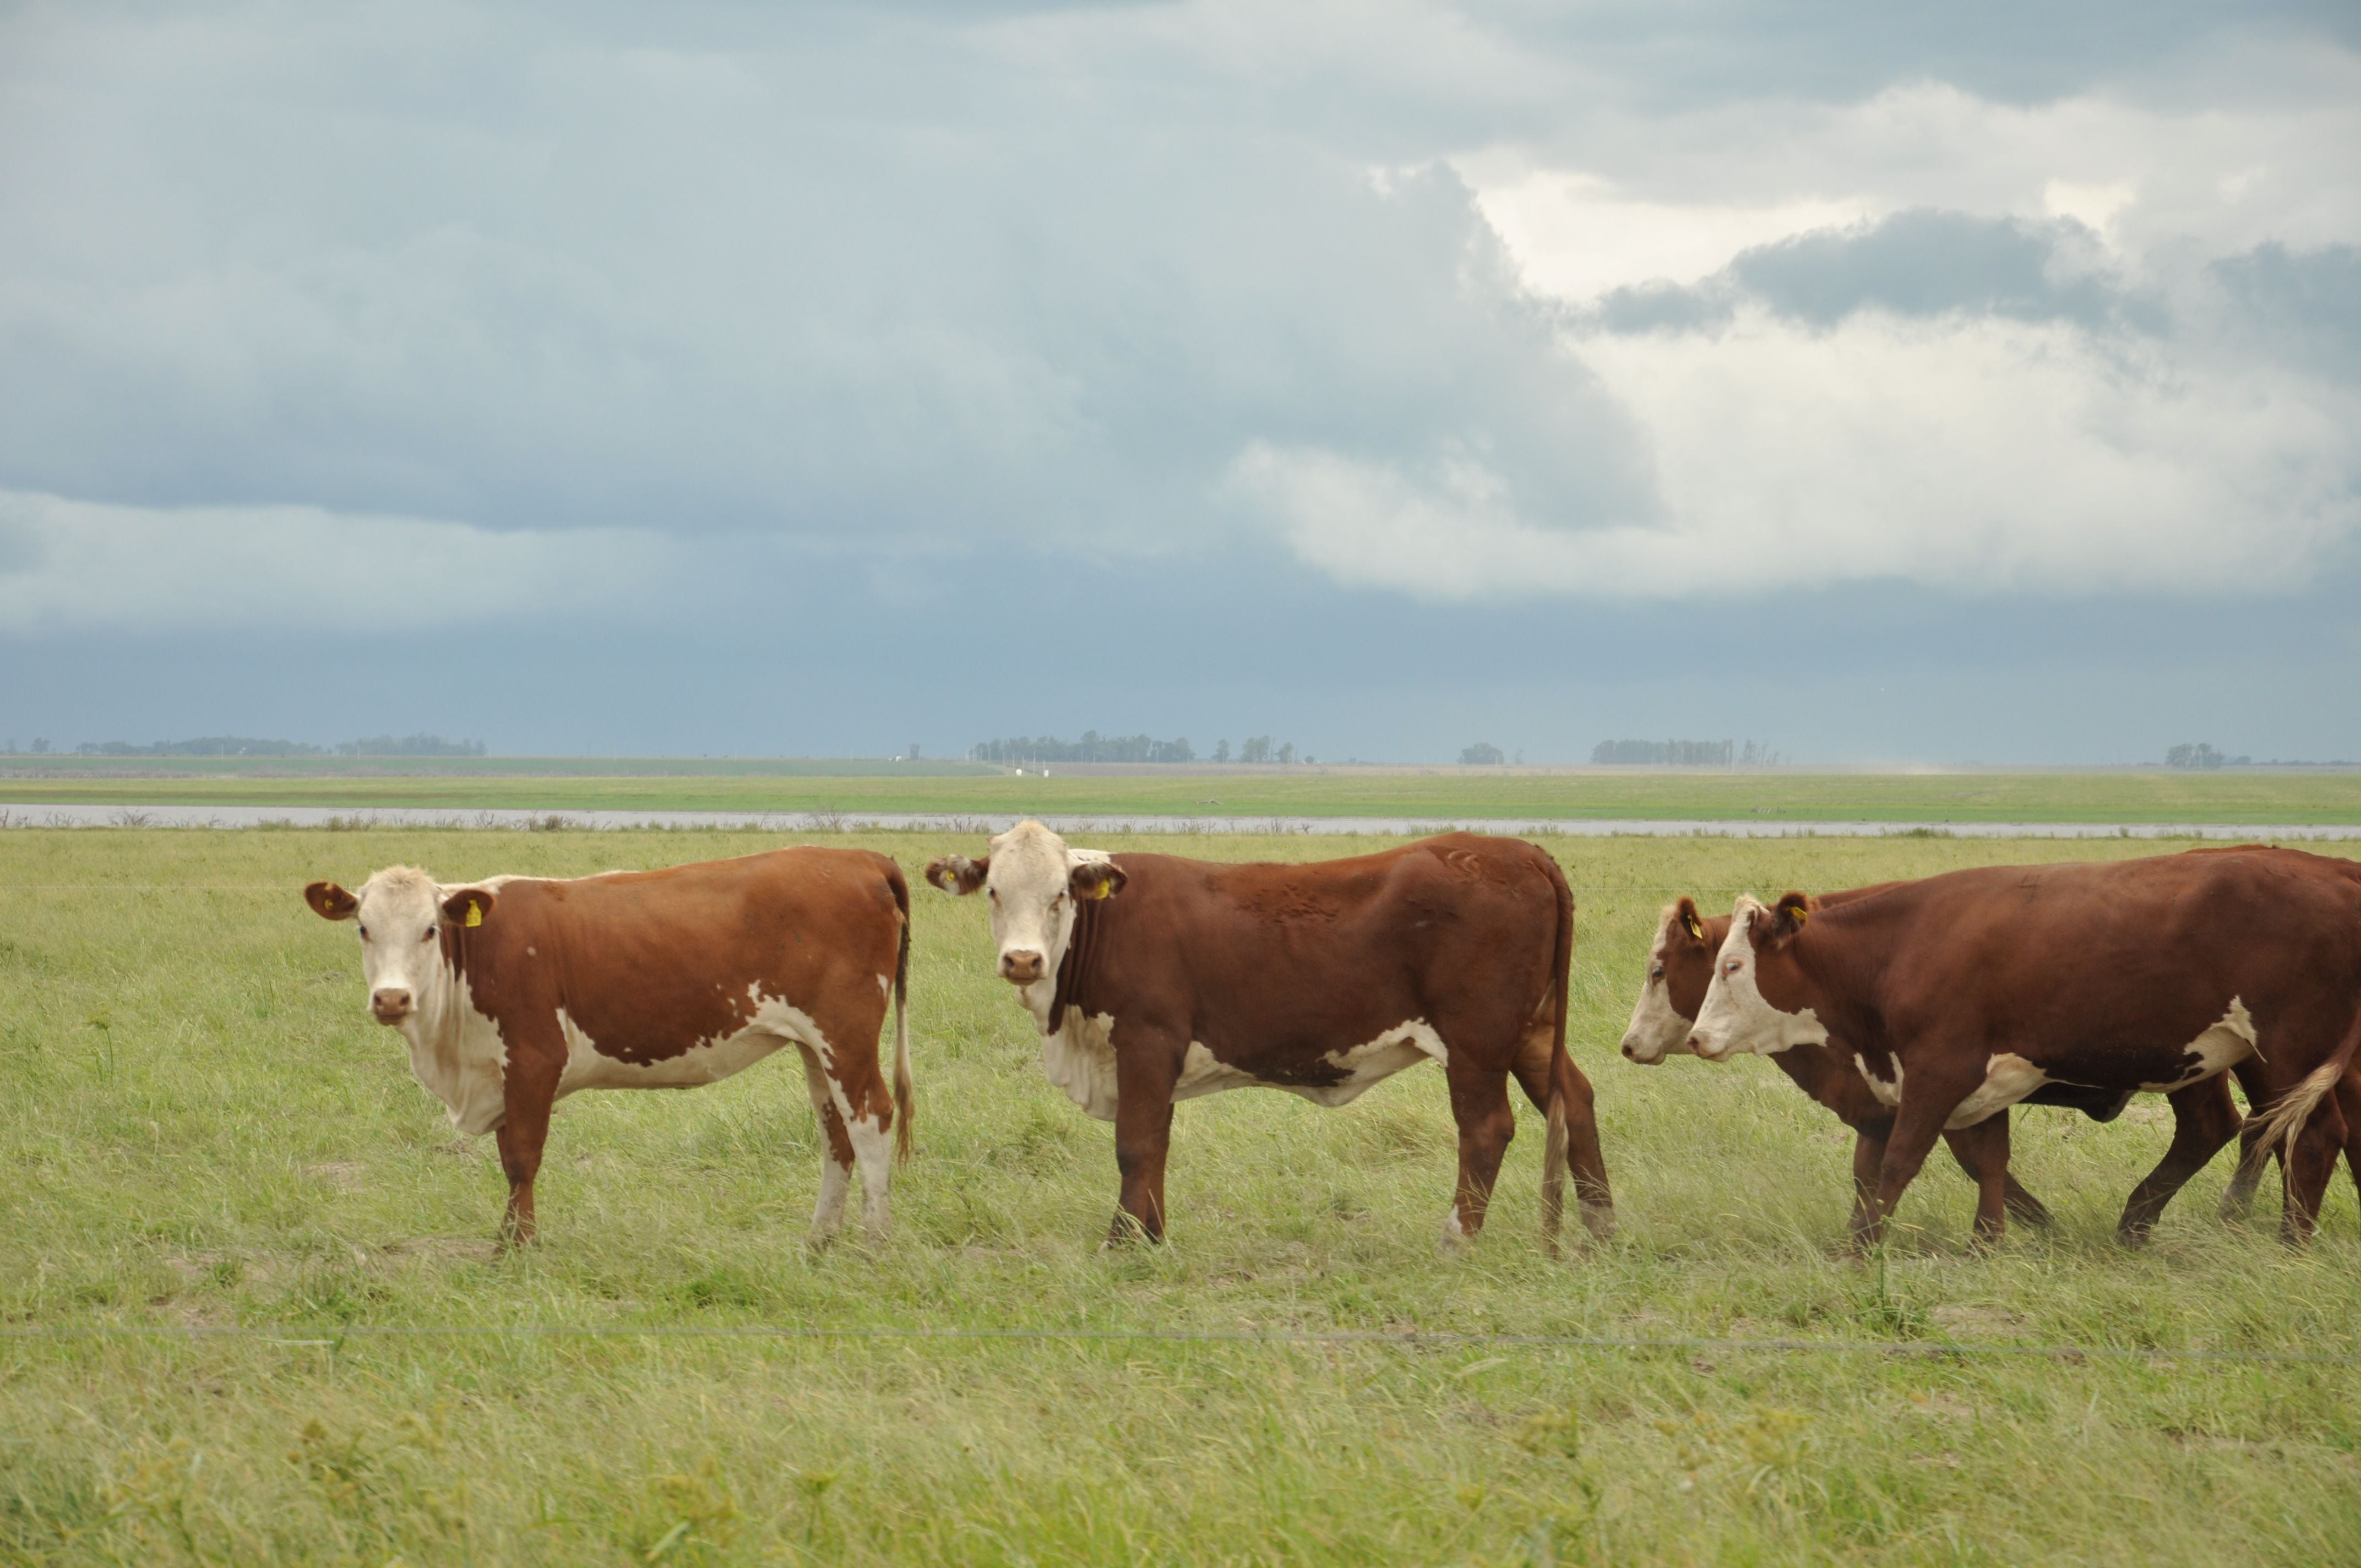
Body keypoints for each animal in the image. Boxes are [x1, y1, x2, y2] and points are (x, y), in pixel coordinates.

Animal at [304, 850, 911, 1246]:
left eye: (430, 930)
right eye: (363, 928)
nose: (391, 998)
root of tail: (857, 856)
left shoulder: (533, 1059)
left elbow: (522, 1158)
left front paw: (517, 1249)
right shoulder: (500, 1072)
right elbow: (508, 1158)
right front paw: (508, 1239)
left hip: (846, 1035)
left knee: (871, 1118)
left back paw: (875, 1242)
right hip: (816, 1046)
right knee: (836, 1132)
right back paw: (819, 1241)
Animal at [930, 821, 1614, 1246]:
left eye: (1057, 895)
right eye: (994, 891)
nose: (1023, 960)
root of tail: (1516, 850)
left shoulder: (1147, 1040)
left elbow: (1136, 1144)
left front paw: (1121, 1243)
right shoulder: (1154, 1057)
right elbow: (1157, 1144)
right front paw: (1151, 1236)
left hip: (1476, 1040)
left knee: (1485, 1128)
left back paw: (1457, 1240)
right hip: (1532, 1031)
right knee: (1576, 1099)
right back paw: (1602, 1229)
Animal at [1614, 892, 2257, 1246]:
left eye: (1658, 969)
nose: (1628, 1043)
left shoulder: (1938, 1087)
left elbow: (1964, 1162)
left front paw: (2033, 1227)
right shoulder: (1898, 1100)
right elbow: (1884, 1168)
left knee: (2231, 1128)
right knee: (2238, 1129)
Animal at [1690, 850, 2361, 1246]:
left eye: (1731, 965)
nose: (1696, 1037)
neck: (1900, 947)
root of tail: (2333, 870)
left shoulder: (1939, 1070)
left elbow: (1897, 1161)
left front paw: (1864, 1250)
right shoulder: (1979, 1087)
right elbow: (1985, 1161)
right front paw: (1985, 1245)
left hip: (2289, 1052)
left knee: (2311, 1136)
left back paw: (2288, 1243)